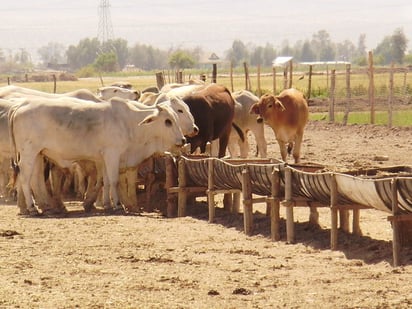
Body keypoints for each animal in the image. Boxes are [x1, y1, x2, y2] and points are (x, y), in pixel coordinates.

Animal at [8, 96, 185, 214]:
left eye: (177, 118)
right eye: (168, 121)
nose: (182, 140)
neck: (128, 123)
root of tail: (20, 106)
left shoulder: (104, 157)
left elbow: (105, 181)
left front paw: (107, 204)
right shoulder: (112, 154)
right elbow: (113, 181)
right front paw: (118, 205)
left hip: (38, 154)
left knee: (35, 179)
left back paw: (43, 207)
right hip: (29, 153)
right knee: (25, 178)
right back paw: (32, 208)